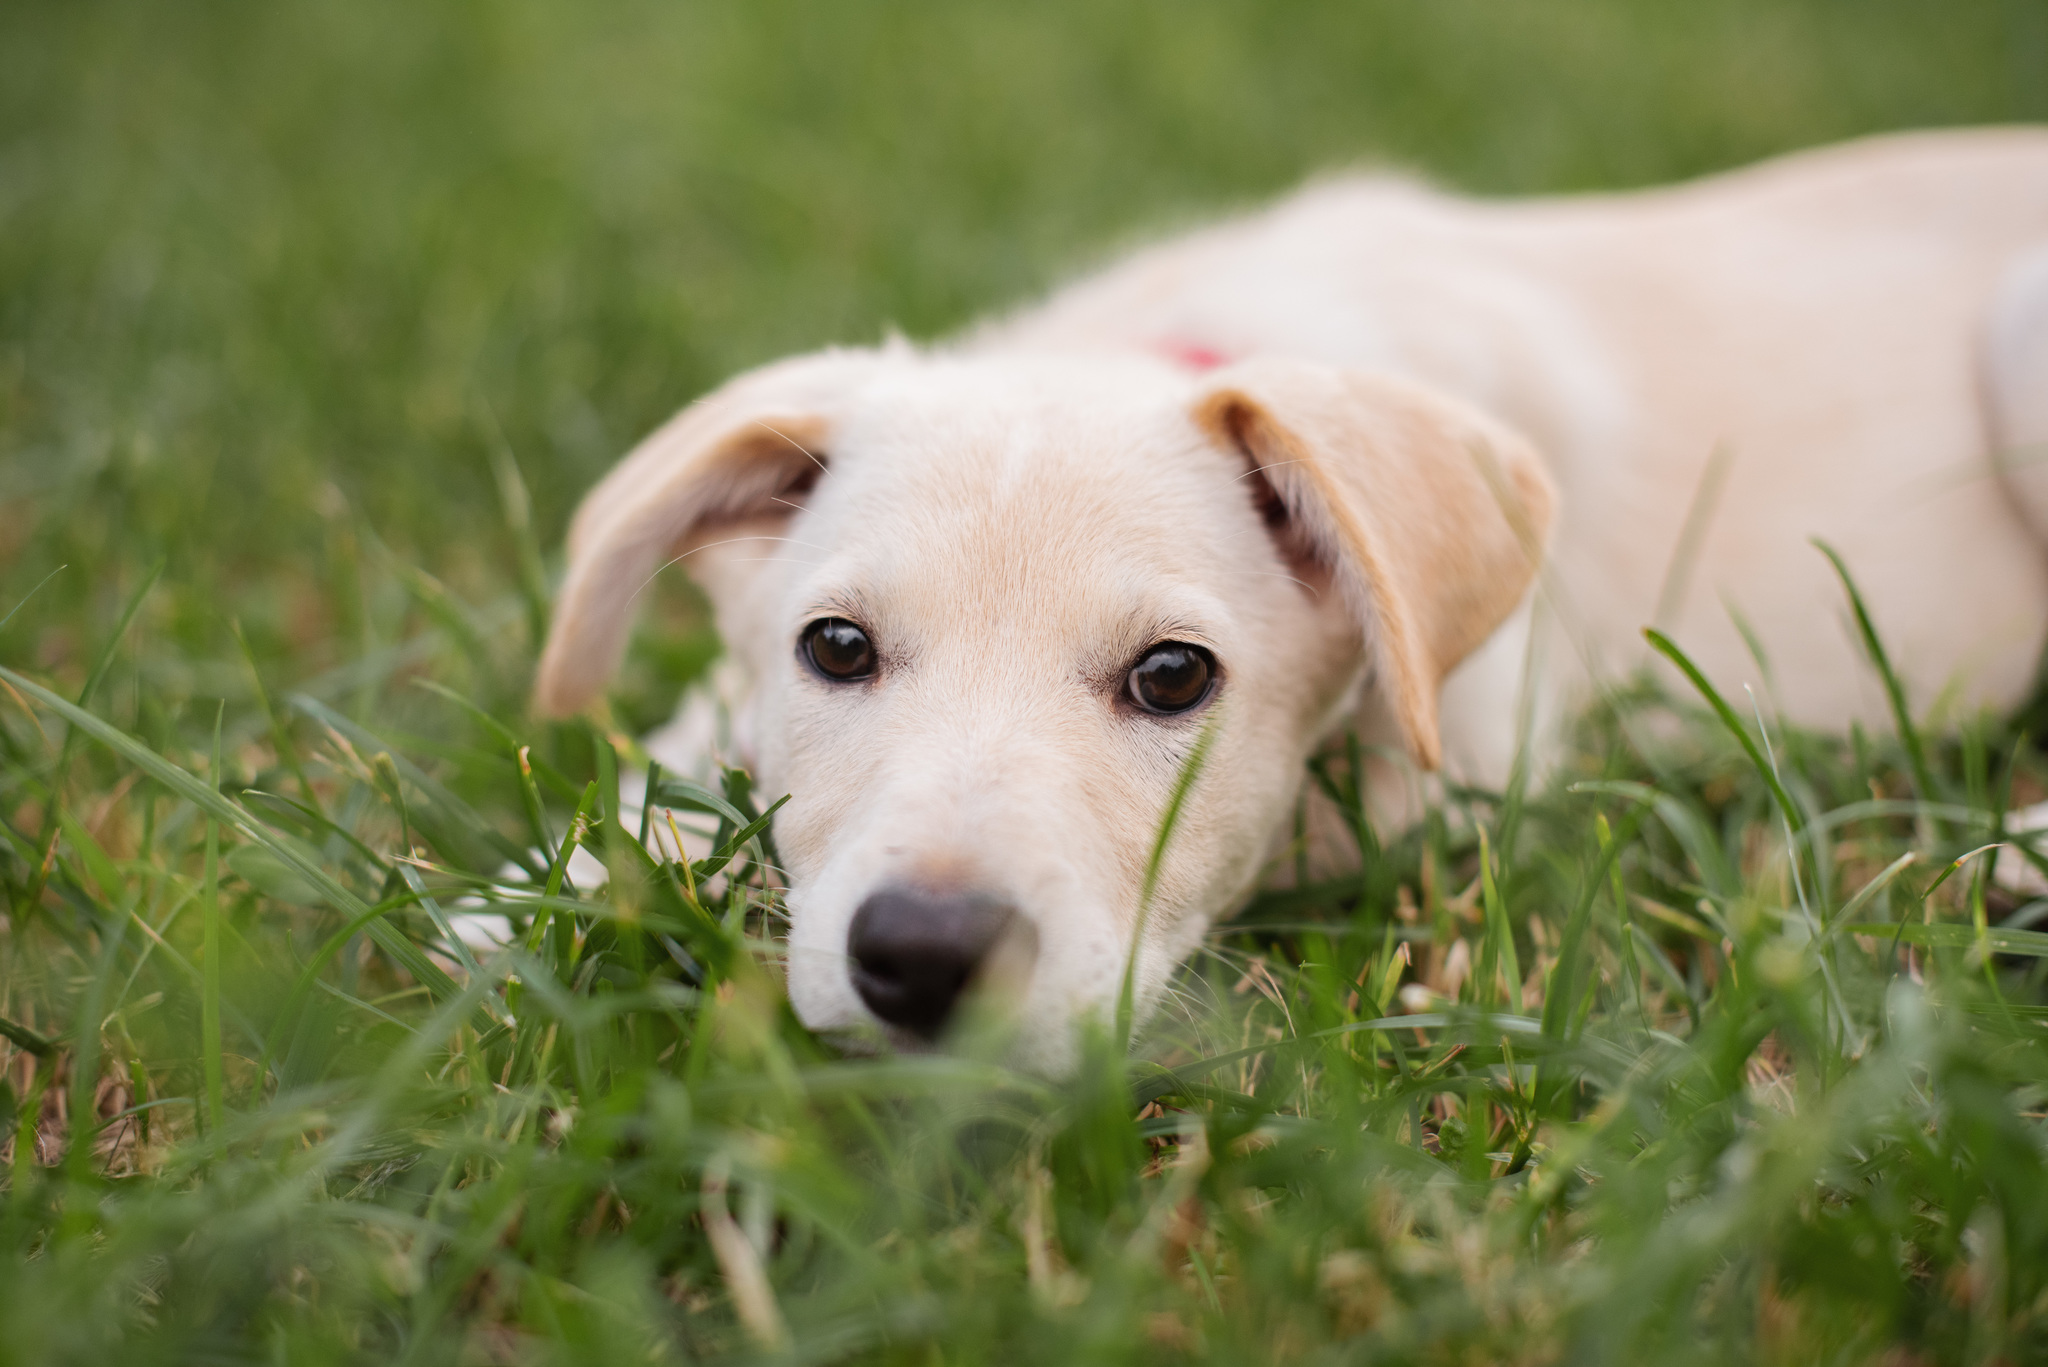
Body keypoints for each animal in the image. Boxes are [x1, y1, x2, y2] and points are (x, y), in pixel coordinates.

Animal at [532, 128, 2048, 1065]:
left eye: (1171, 676)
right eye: (835, 647)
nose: (922, 958)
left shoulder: (1442, 776)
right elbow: (661, 775)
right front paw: (532, 905)